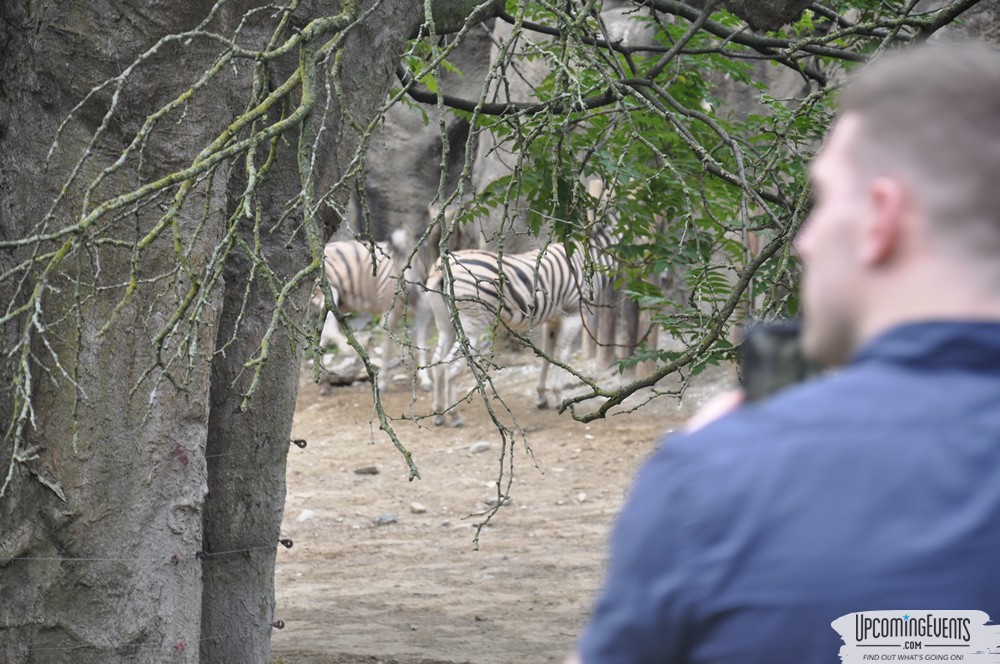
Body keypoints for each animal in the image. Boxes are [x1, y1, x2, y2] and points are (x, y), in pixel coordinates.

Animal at [310, 231, 432, 392]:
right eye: (398, 263)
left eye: (417, 264)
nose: (411, 293)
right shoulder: (388, 315)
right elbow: (386, 349)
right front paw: (383, 383)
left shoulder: (423, 313)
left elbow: (421, 344)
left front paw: (425, 379)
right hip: (328, 293)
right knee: (329, 328)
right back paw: (347, 349)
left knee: (322, 333)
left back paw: (324, 382)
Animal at [424, 226, 616, 428]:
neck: (590, 253)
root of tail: (442, 268)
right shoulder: (573, 312)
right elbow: (562, 353)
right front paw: (559, 396)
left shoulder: (553, 319)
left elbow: (548, 354)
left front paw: (542, 397)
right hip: (472, 324)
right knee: (451, 366)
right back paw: (454, 415)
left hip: (446, 324)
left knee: (437, 361)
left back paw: (439, 413)